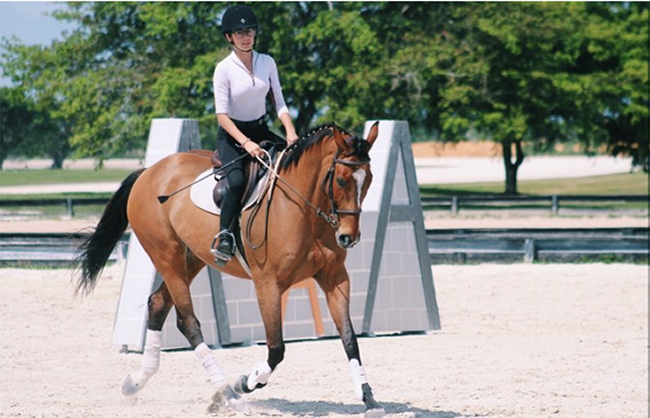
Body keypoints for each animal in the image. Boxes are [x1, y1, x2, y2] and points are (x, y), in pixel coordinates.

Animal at [74, 122, 384, 416]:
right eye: (341, 180)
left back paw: (136, 382)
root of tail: (149, 172)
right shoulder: (268, 284)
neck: (303, 208)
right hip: (167, 257)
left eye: (368, 180)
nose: (348, 237)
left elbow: (350, 339)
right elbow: (276, 348)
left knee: (158, 304)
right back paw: (228, 395)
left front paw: (369, 399)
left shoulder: (335, 279)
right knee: (188, 322)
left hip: (192, 258)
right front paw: (246, 382)